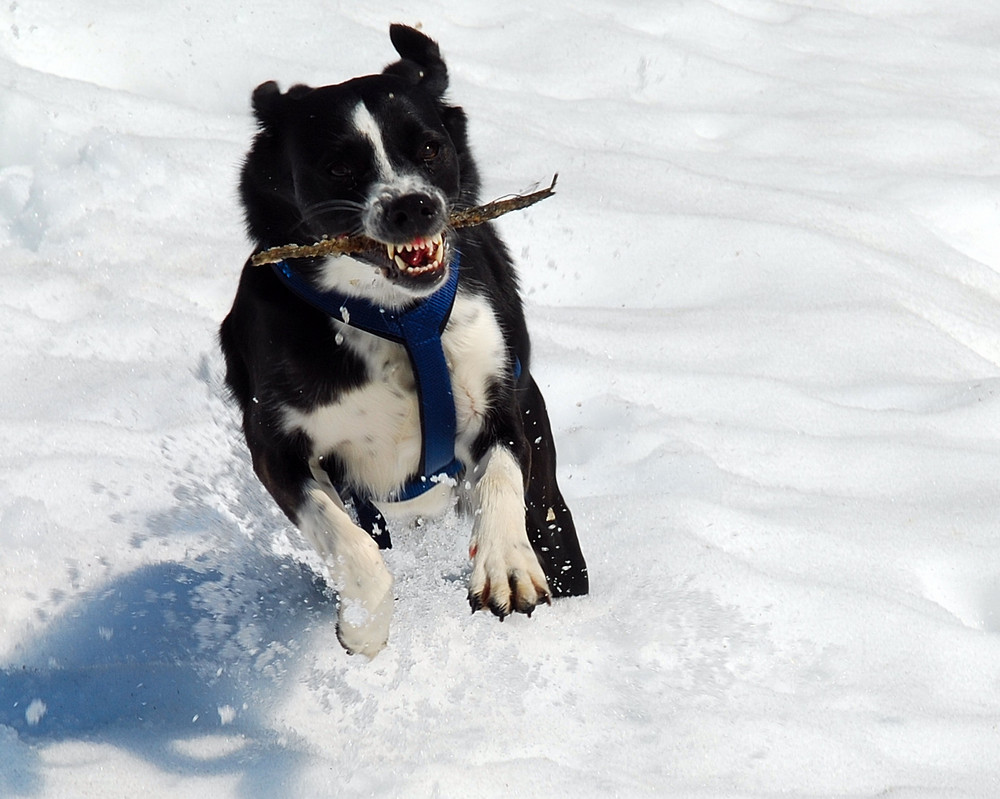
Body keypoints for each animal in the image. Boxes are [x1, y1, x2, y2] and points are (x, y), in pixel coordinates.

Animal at [219, 25, 584, 656]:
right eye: (338, 167)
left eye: (431, 148)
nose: (412, 206)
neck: (392, 318)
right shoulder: (276, 445)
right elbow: (344, 538)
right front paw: (365, 623)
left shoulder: (499, 402)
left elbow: (502, 475)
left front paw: (505, 564)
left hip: (550, 504)